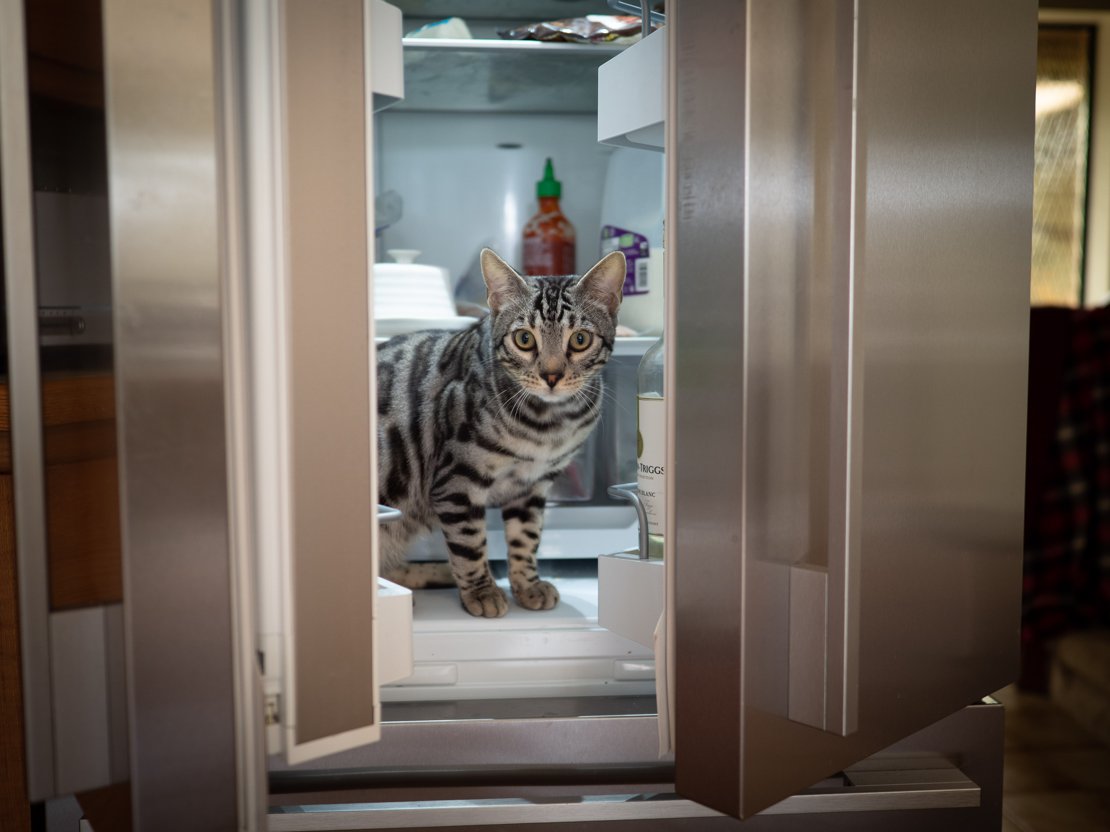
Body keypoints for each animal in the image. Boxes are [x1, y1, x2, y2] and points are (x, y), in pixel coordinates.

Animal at [379, 247, 626, 621]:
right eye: (524, 339)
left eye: (580, 340)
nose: (551, 375)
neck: (547, 426)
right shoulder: (457, 482)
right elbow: (469, 544)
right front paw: (481, 591)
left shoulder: (533, 487)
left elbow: (526, 538)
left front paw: (527, 585)